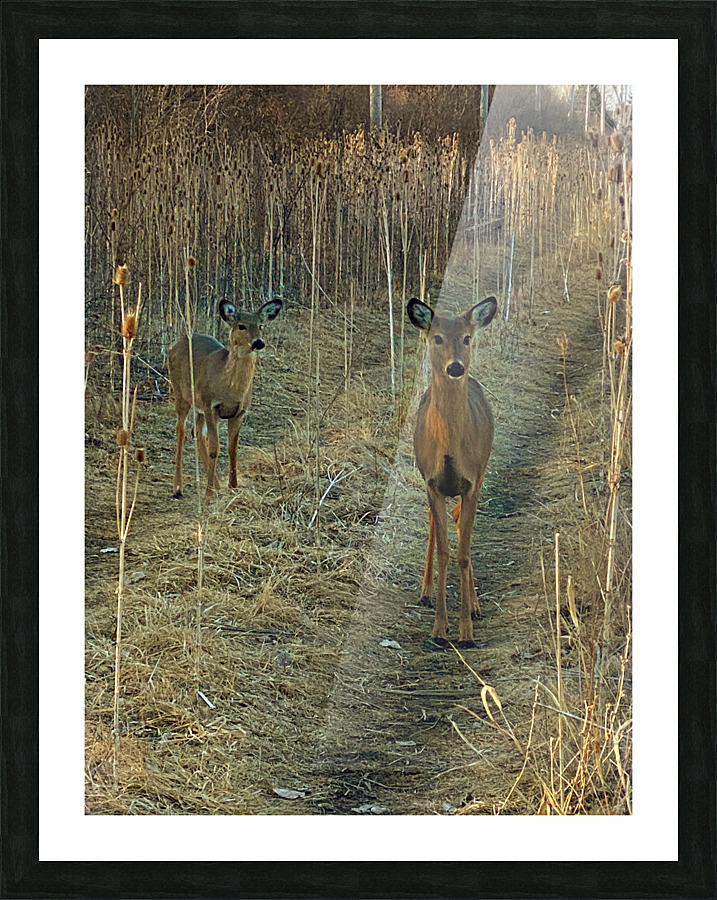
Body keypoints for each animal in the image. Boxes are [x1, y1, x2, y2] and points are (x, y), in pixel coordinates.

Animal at [168, 298, 282, 503]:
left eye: (260, 325)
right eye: (241, 325)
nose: (258, 342)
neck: (229, 388)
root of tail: (177, 343)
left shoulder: (239, 411)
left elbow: (232, 448)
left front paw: (233, 487)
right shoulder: (211, 405)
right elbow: (215, 447)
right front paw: (208, 496)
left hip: (198, 406)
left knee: (196, 432)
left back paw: (215, 484)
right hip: (181, 393)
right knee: (181, 431)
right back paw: (178, 488)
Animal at [407, 296, 498, 648]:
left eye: (467, 338)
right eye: (437, 338)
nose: (455, 367)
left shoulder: (471, 482)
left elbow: (464, 553)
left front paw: (466, 631)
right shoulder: (432, 482)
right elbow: (445, 551)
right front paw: (439, 629)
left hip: (482, 470)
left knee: (460, 527)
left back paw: (473, 605)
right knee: (435, 525)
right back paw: (425, 592)